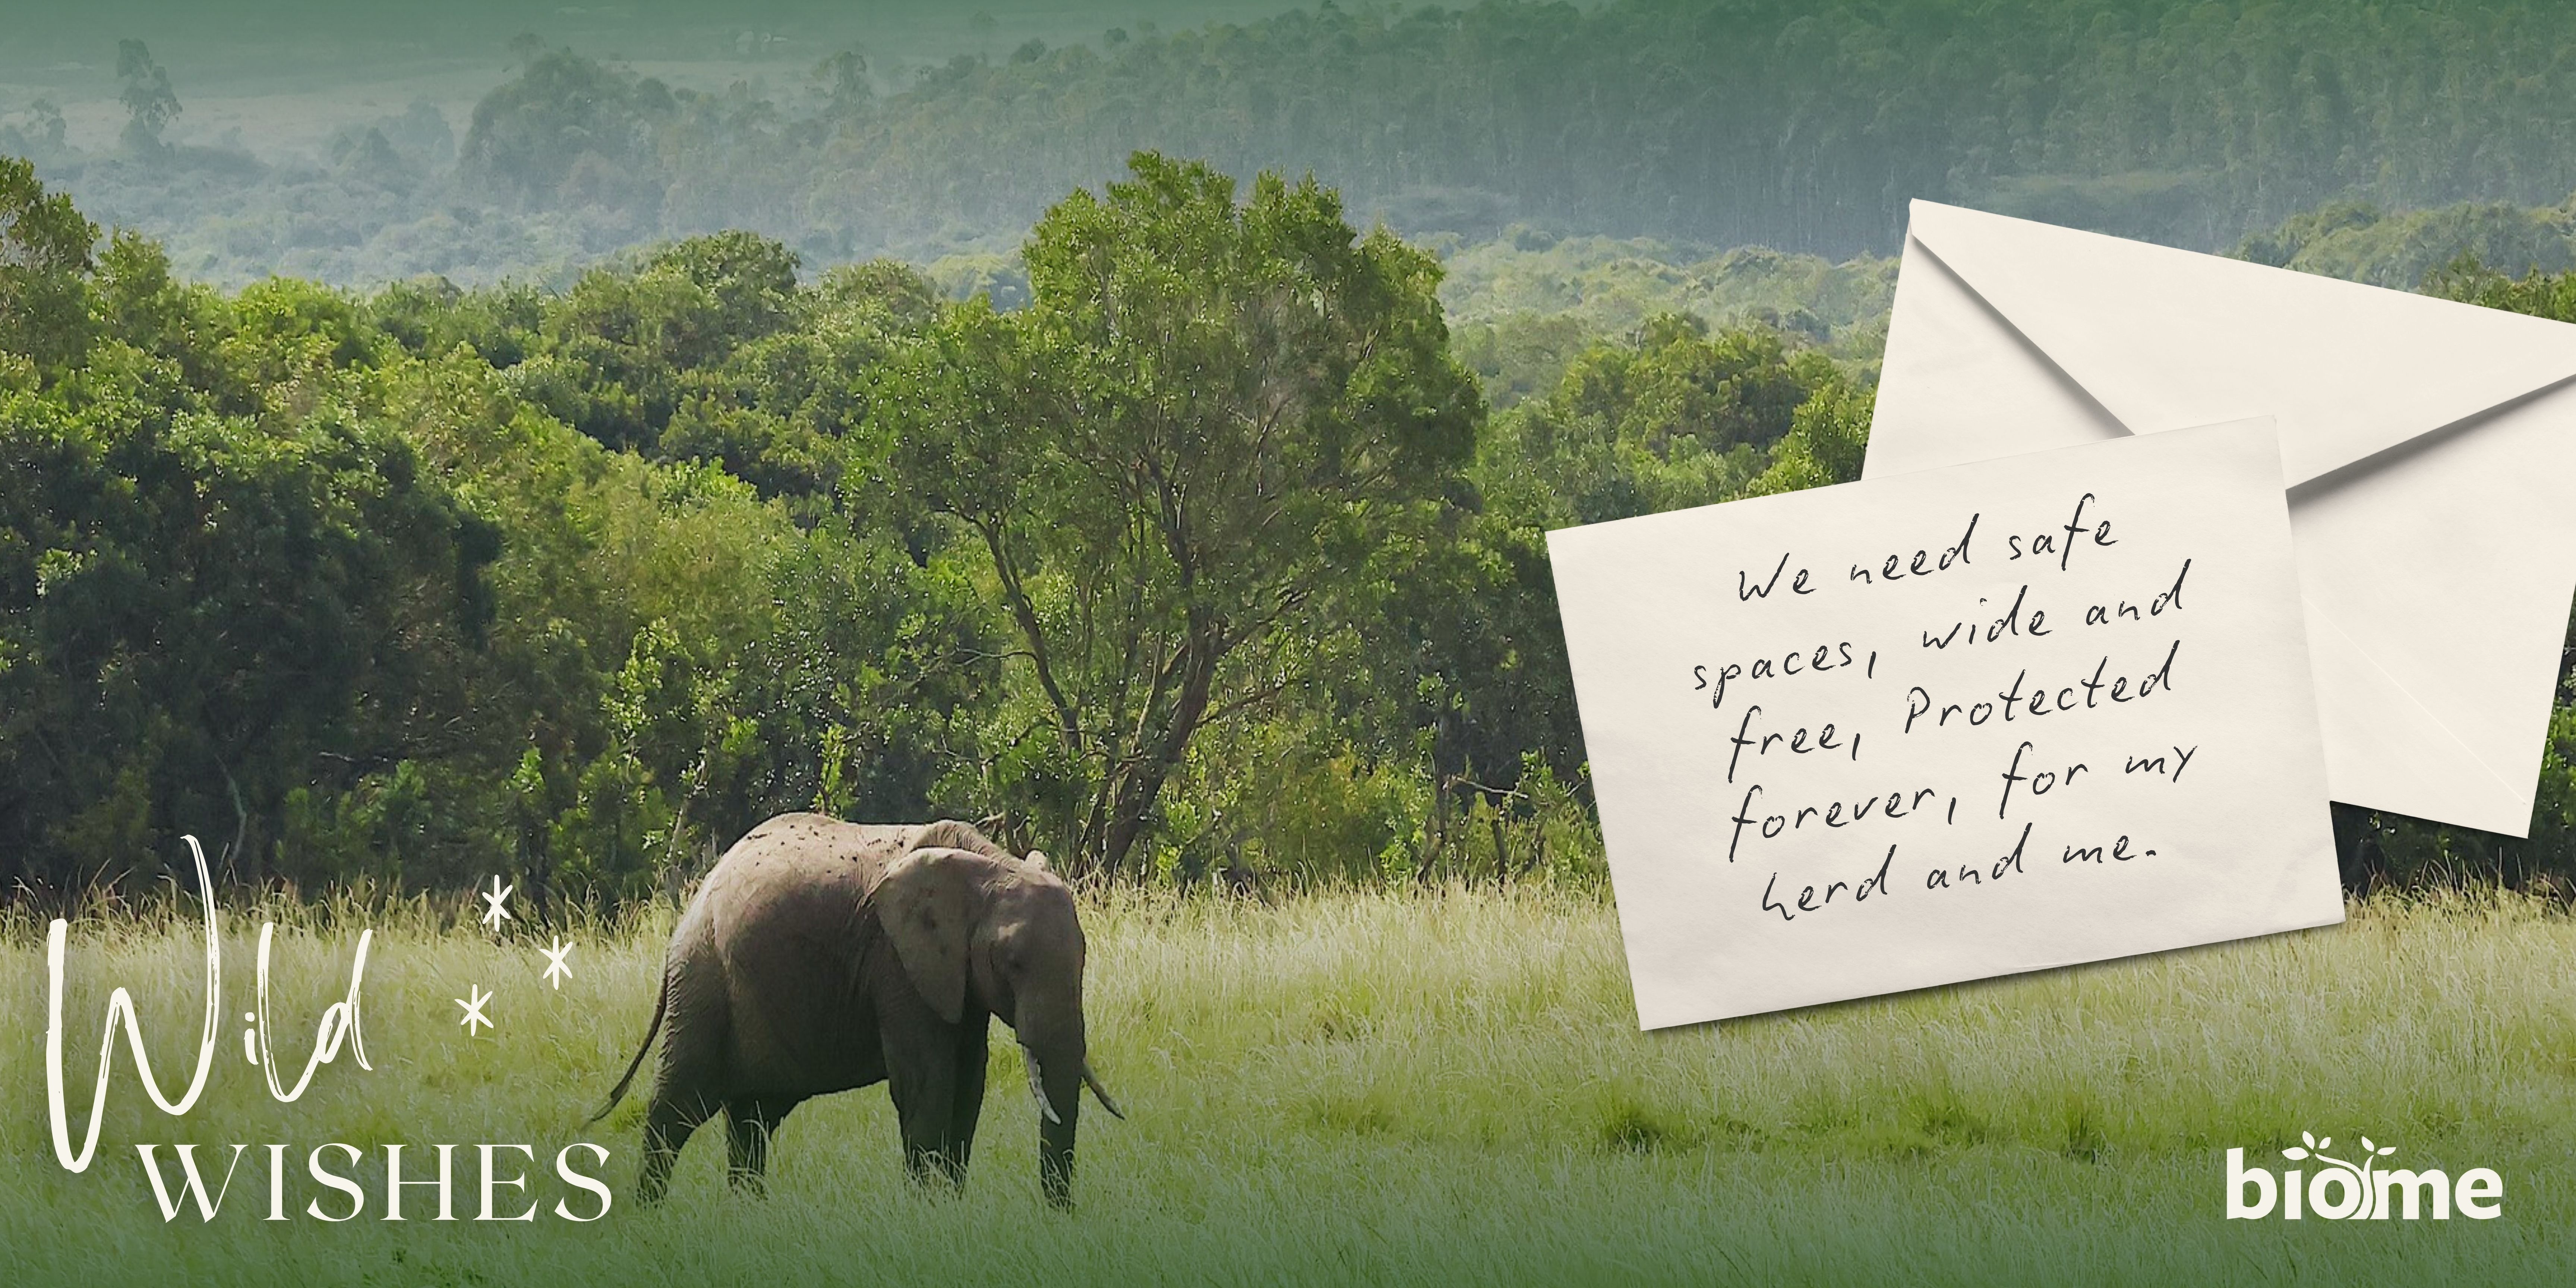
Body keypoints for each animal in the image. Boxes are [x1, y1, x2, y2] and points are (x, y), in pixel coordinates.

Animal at [592, 813, 1122, 1207]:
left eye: (1084, 955)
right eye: (1011, 963)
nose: (1059, 1216)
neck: (986, 863)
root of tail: (693, 905)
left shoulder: (955, 977)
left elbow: (970, 1084)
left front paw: (951, 1208)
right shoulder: (896, 960)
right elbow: (928, 1084)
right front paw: (927, 1214)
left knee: (751, 1119)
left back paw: (748, 1216)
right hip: (704, 983)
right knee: (679, 1107)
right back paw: (650, 1217)